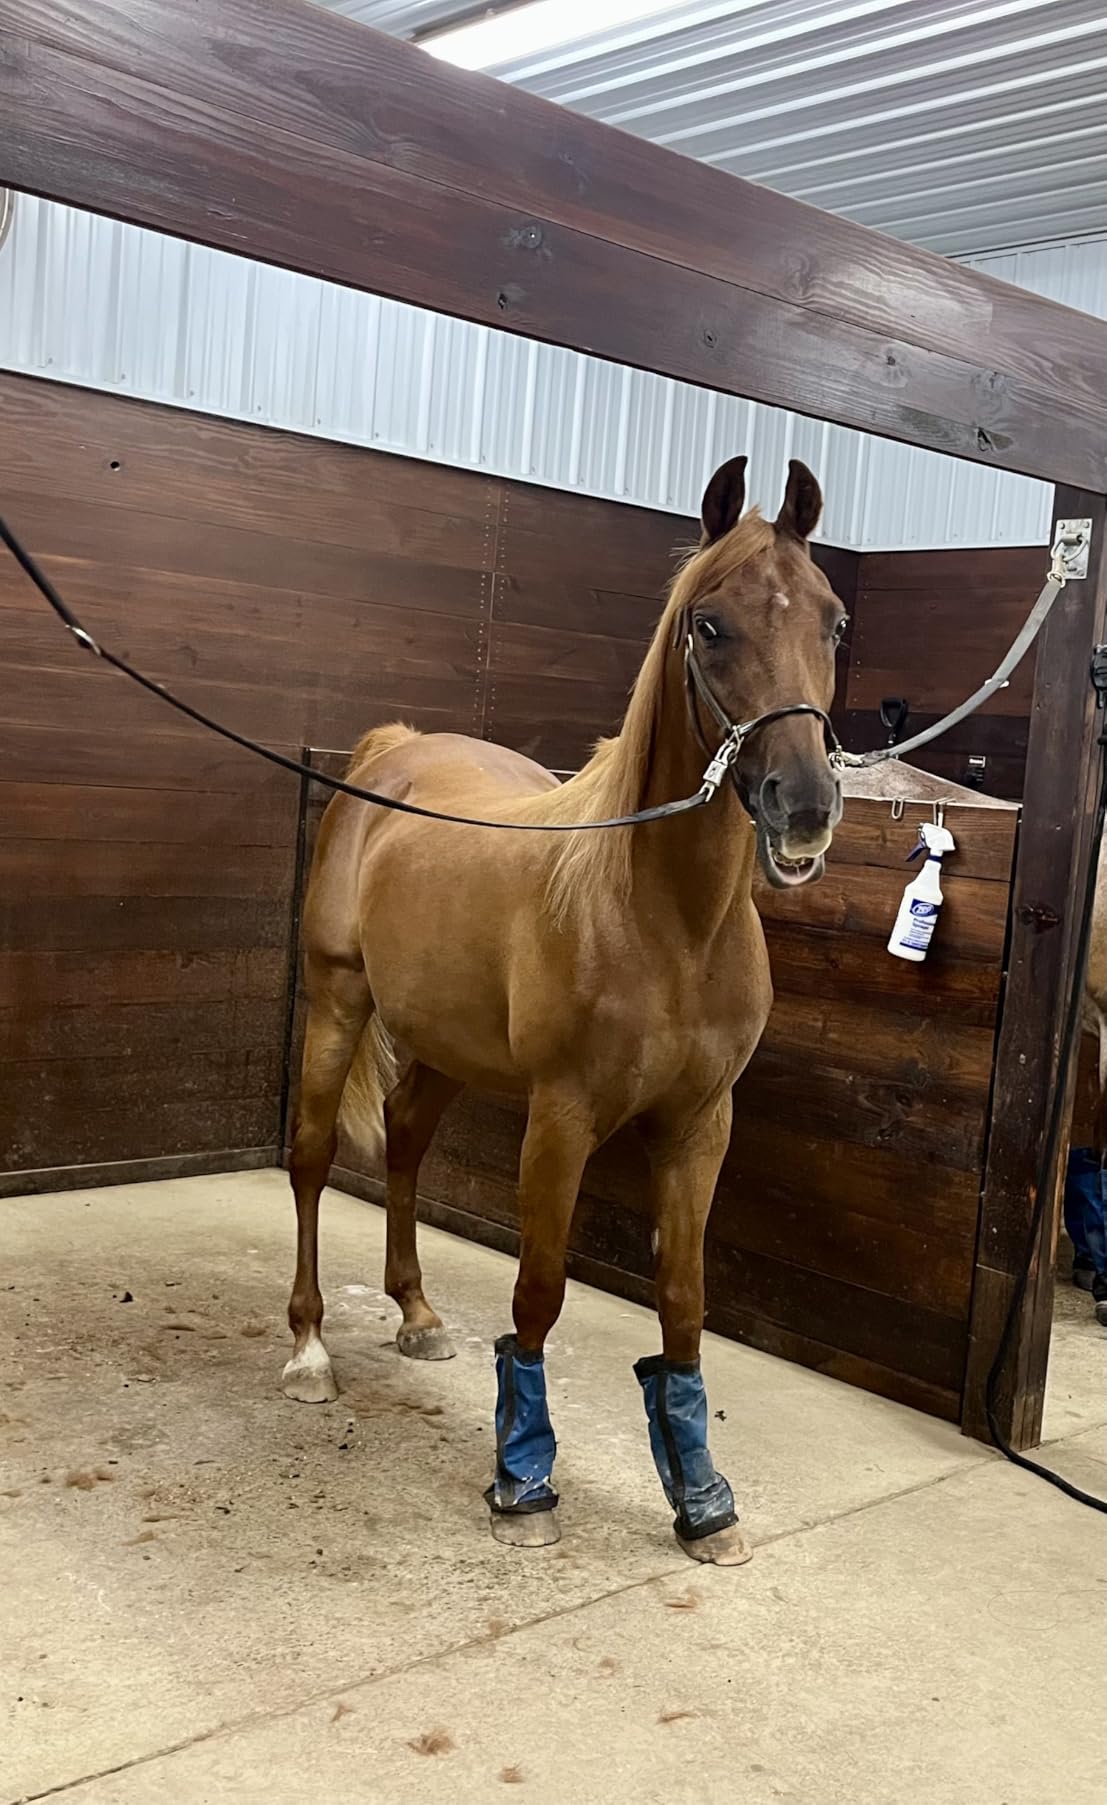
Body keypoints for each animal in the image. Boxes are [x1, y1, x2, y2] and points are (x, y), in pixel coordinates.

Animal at [285, 455, 846, 1566]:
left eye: (834, 620)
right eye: (709, 624)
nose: (804, 805)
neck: (664, 915)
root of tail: (389, 753)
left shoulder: (700, 1124)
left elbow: (683, 1299)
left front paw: (702, 1499)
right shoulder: (563, 1115)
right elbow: (538, 1289)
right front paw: (524, 1478)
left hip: (445, 1046)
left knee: (404, 1141)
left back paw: (417, 1313)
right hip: (338, 1004)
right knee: (315, 1158)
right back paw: (310, 1348)